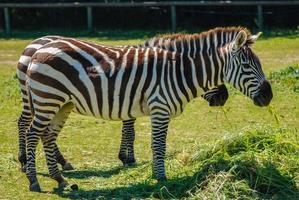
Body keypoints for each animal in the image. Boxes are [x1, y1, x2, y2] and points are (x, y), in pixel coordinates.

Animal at [15, 35, 227, 173]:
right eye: (212, 76)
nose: (224, 97)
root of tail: (33, 44)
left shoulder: (127, 102)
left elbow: (127, 130)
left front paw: (124, 156)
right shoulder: (129, 100)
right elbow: (130, 131)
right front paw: (128, 158)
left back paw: (60, 161)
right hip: (37, 95)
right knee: (25, 123)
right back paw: (24, 161)